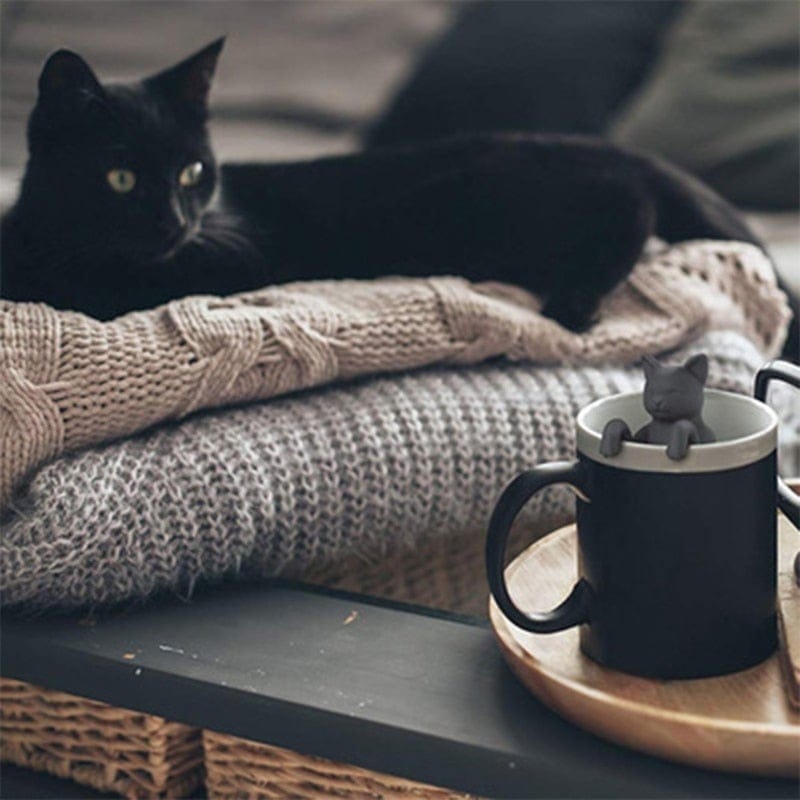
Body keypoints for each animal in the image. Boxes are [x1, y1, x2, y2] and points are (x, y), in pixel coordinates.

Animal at [0, 36, 772, 332]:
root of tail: (610, 143)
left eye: (192, 173)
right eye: (121, 178)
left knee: (628, 208)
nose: (175, 222)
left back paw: (573, 304)